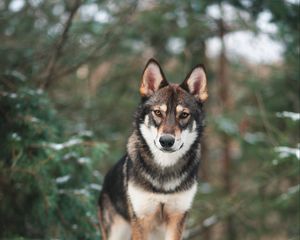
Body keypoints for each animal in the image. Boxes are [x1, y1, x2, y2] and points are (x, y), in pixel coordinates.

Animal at [98, 58, 209, 240]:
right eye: (158, 112)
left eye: (184, 115)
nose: (166, 141)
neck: (164, 170)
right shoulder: (142, 219)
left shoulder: (177, 218)